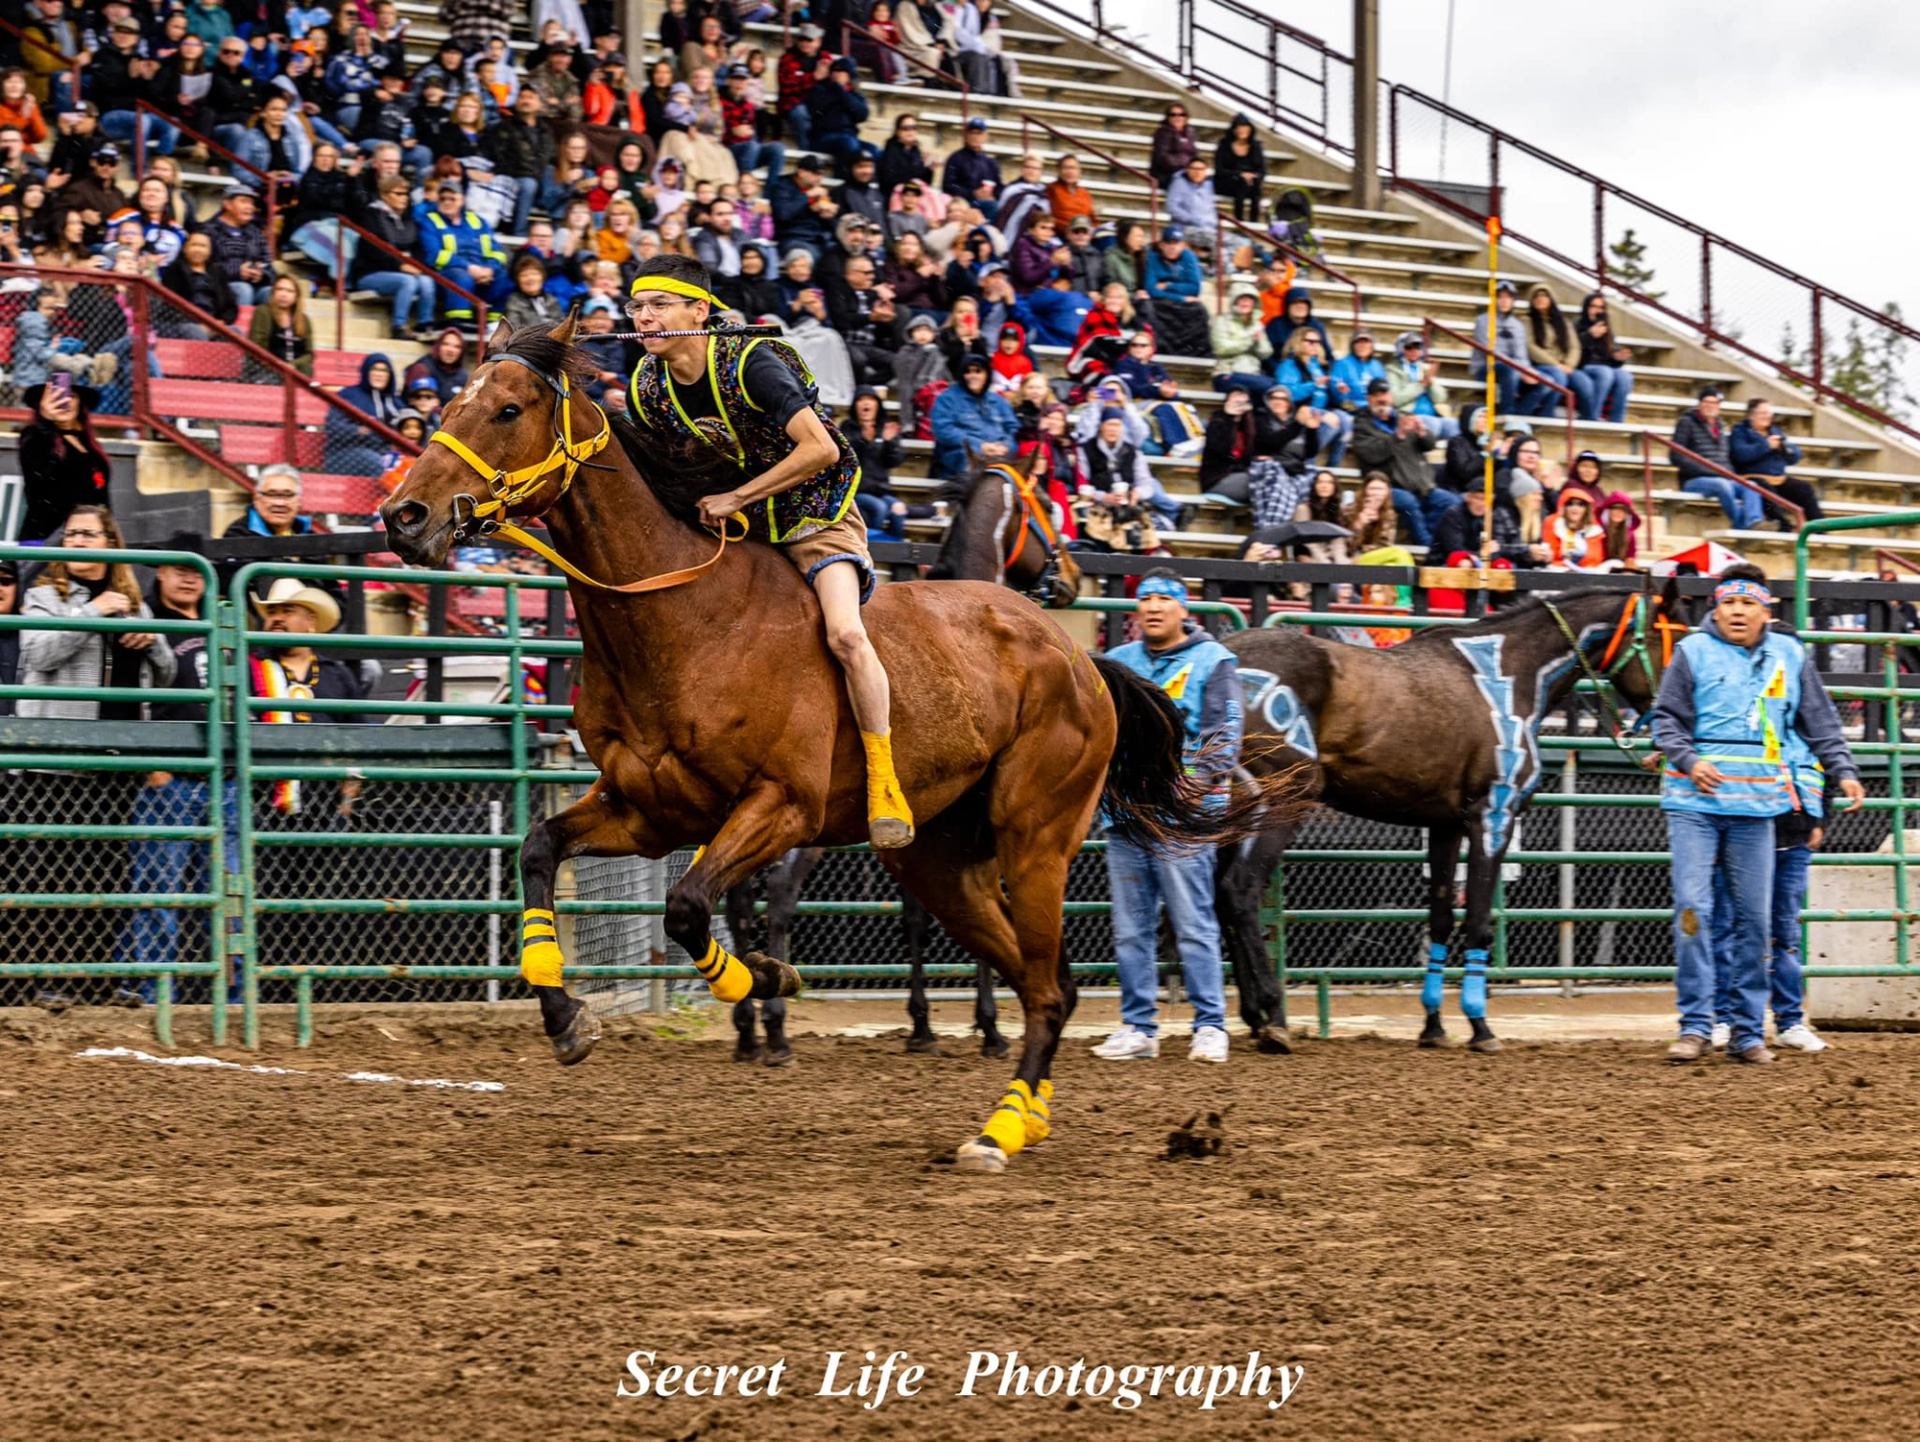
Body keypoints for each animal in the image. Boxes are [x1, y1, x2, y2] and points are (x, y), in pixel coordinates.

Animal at [379, 318, 1301, 1173]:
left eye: (507, 408)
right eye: (453, 402)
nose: (403, 514)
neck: (683, 618)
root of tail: (1083, 660)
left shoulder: (781, 808)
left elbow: (689, 906)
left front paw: (763, 981)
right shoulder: (648, 811)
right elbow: (542, 848)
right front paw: (566, 1014)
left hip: (1035, 839)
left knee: (1045, 983)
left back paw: (1000, 1129)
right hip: (939, 862)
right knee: (1047, 983)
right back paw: (1017, 1115)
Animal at [1212, 585, 1682, 1053]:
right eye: (1669, 641)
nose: (1670, 719)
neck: (1508, 671)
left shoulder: (1446, 826)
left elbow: (1440, 919)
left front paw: (1434, 1026)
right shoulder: (1492, 815)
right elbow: (1477, 922)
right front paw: (1480, 1027)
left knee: (1221, 896)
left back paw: (1251, 1016)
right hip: (1283, 799)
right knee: (1241, 891)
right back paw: (1272, 1016)